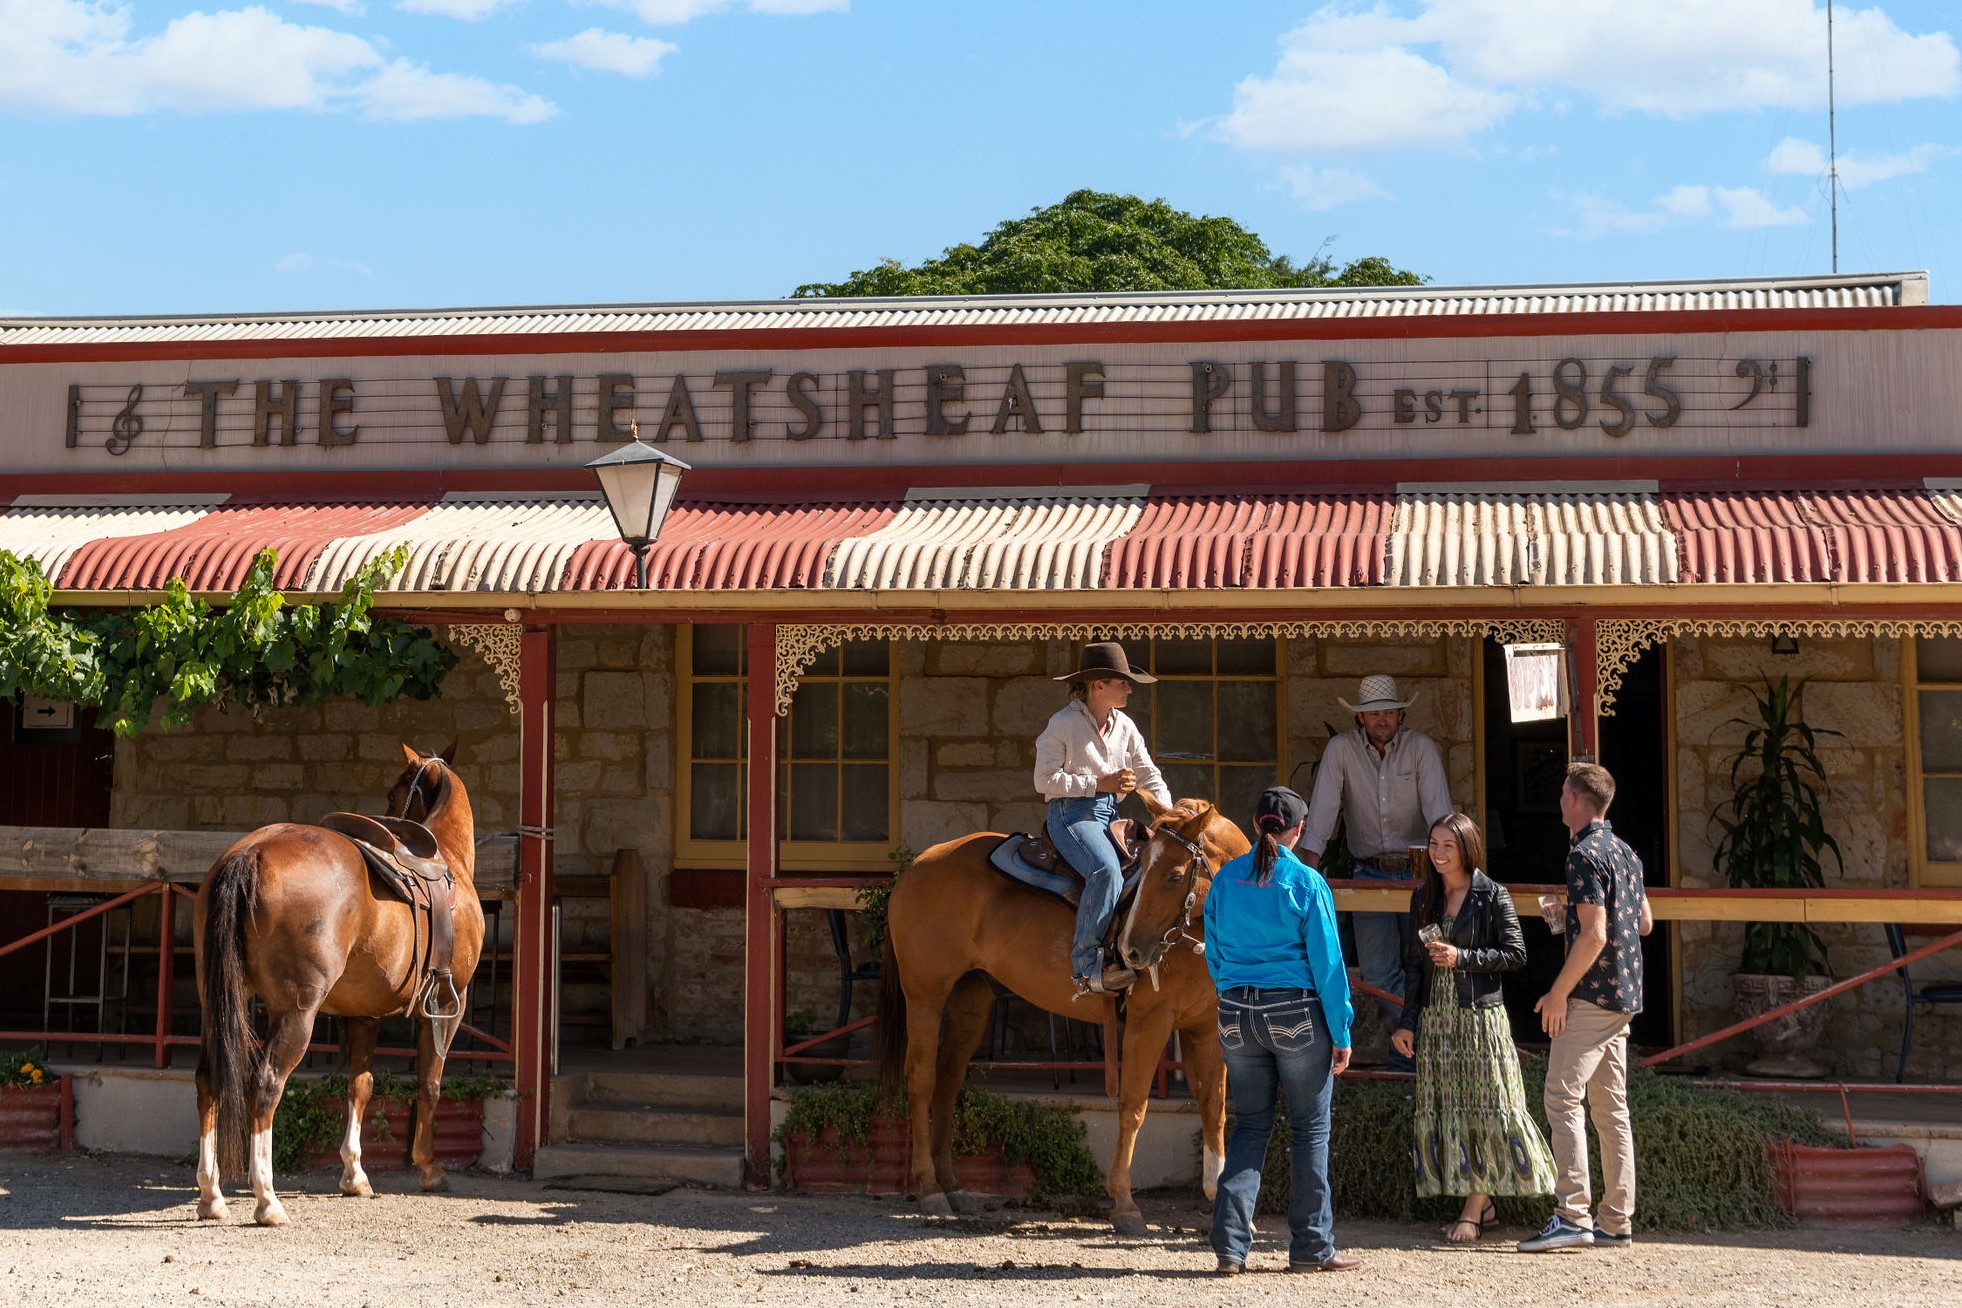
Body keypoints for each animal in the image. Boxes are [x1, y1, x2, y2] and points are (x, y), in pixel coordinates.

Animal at [192, 745, 482, 1231]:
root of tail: (250, 853)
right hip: (296, 1014)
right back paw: (266, 1199)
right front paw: (428, 1167)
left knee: (208, 1080)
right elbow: (430, 1084)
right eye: (393, 793)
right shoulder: (447, 1006)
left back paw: (211, 1195)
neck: (449, 862)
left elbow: (359, 1086)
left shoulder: (365, 1015)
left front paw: (355, 1174)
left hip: (216, 1007)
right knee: (266, 1085)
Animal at [882, 788, 1247, 1239]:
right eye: (1147, 870)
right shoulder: (1150, 1021)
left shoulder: (1206, 1027)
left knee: (948, 1082)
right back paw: (929, 1190)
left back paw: (953, 1188)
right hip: (925, 996)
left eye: (1175, 875)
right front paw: (1124, 1203)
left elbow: (1214, 1106)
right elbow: (1133, 1105)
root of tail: (916, 866)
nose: (1130, 951)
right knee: (921, 1081)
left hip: (972, 999)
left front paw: (1218, 1199)